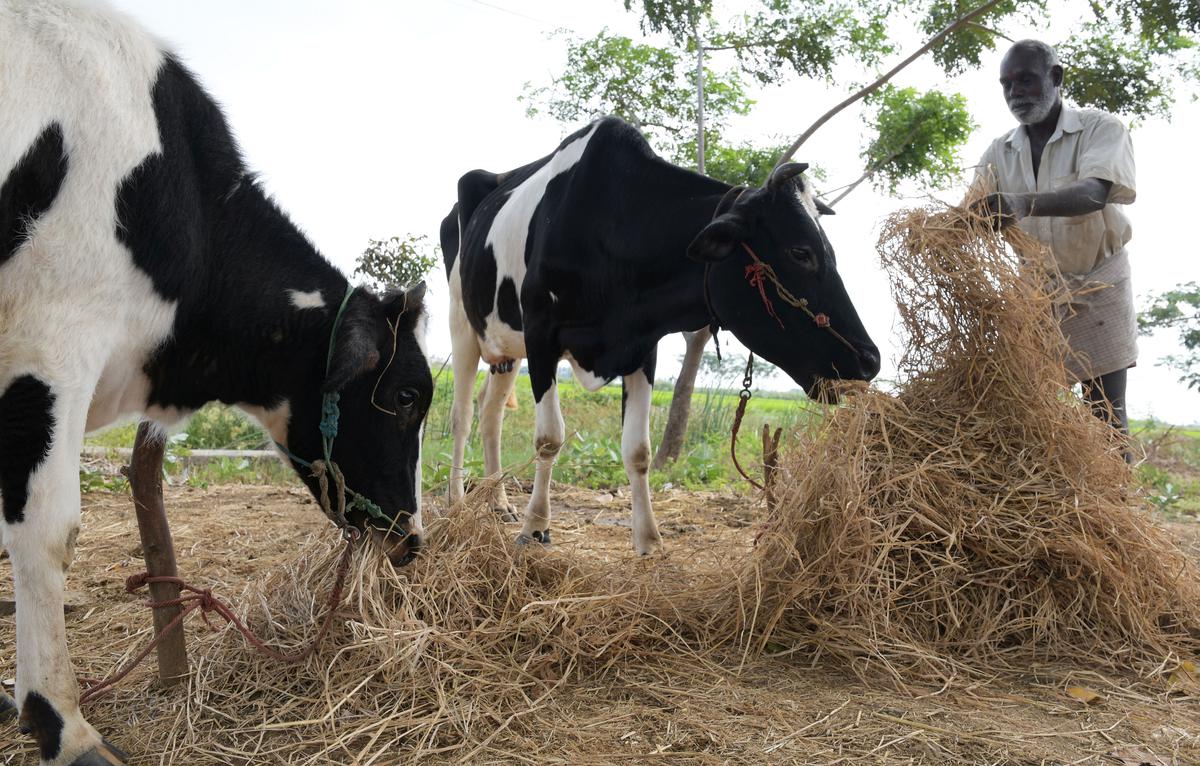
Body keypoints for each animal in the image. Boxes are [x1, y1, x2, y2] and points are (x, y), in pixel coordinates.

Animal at [441, 117, 881, 555]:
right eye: (800, 252)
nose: (870, 359)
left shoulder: (641, 344)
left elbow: (639, 449)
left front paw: (649, 540)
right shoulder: (541, 335)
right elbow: (549, 437)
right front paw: (536, 527)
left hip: (505, 347)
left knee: (491, 412)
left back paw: (498, 502)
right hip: (462, 322)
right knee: (462, 415)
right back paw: (456, 503)